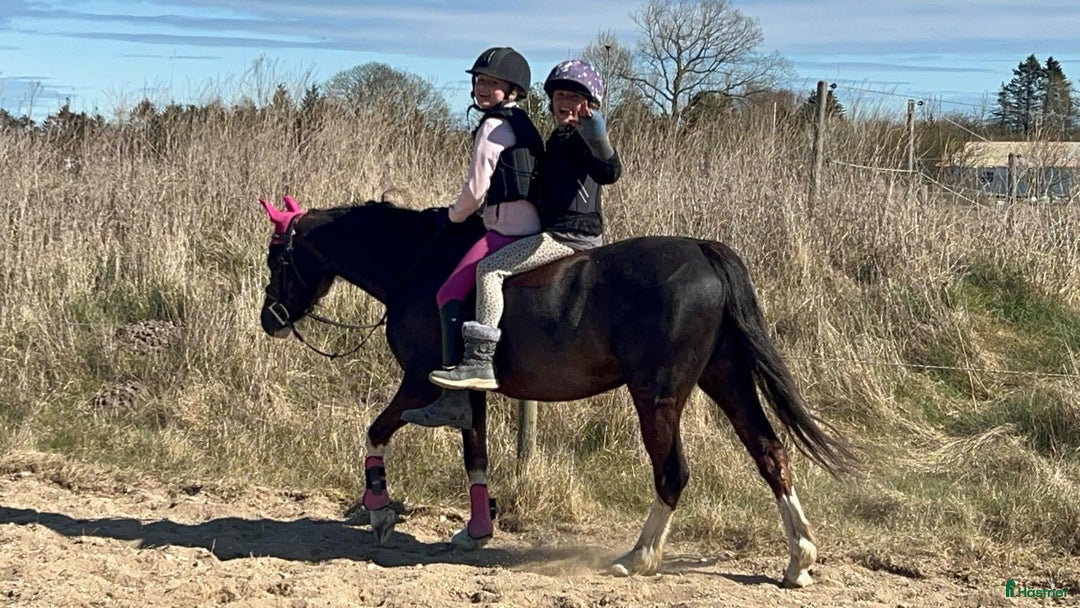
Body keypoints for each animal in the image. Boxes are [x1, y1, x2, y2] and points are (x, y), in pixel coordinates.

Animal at [257, 195, 854, 587]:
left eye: (277, 258)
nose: (270, 320)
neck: (416, 263)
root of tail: (704, 252)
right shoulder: (467, 392)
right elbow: (476, 456)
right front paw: (476, 531)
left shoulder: (417, 383)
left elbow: (375, 432)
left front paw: (380, 510)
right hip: (725, 377)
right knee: (770, 452)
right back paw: (799, 559)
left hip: (658, 395)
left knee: (673, 472)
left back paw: (638, 557)